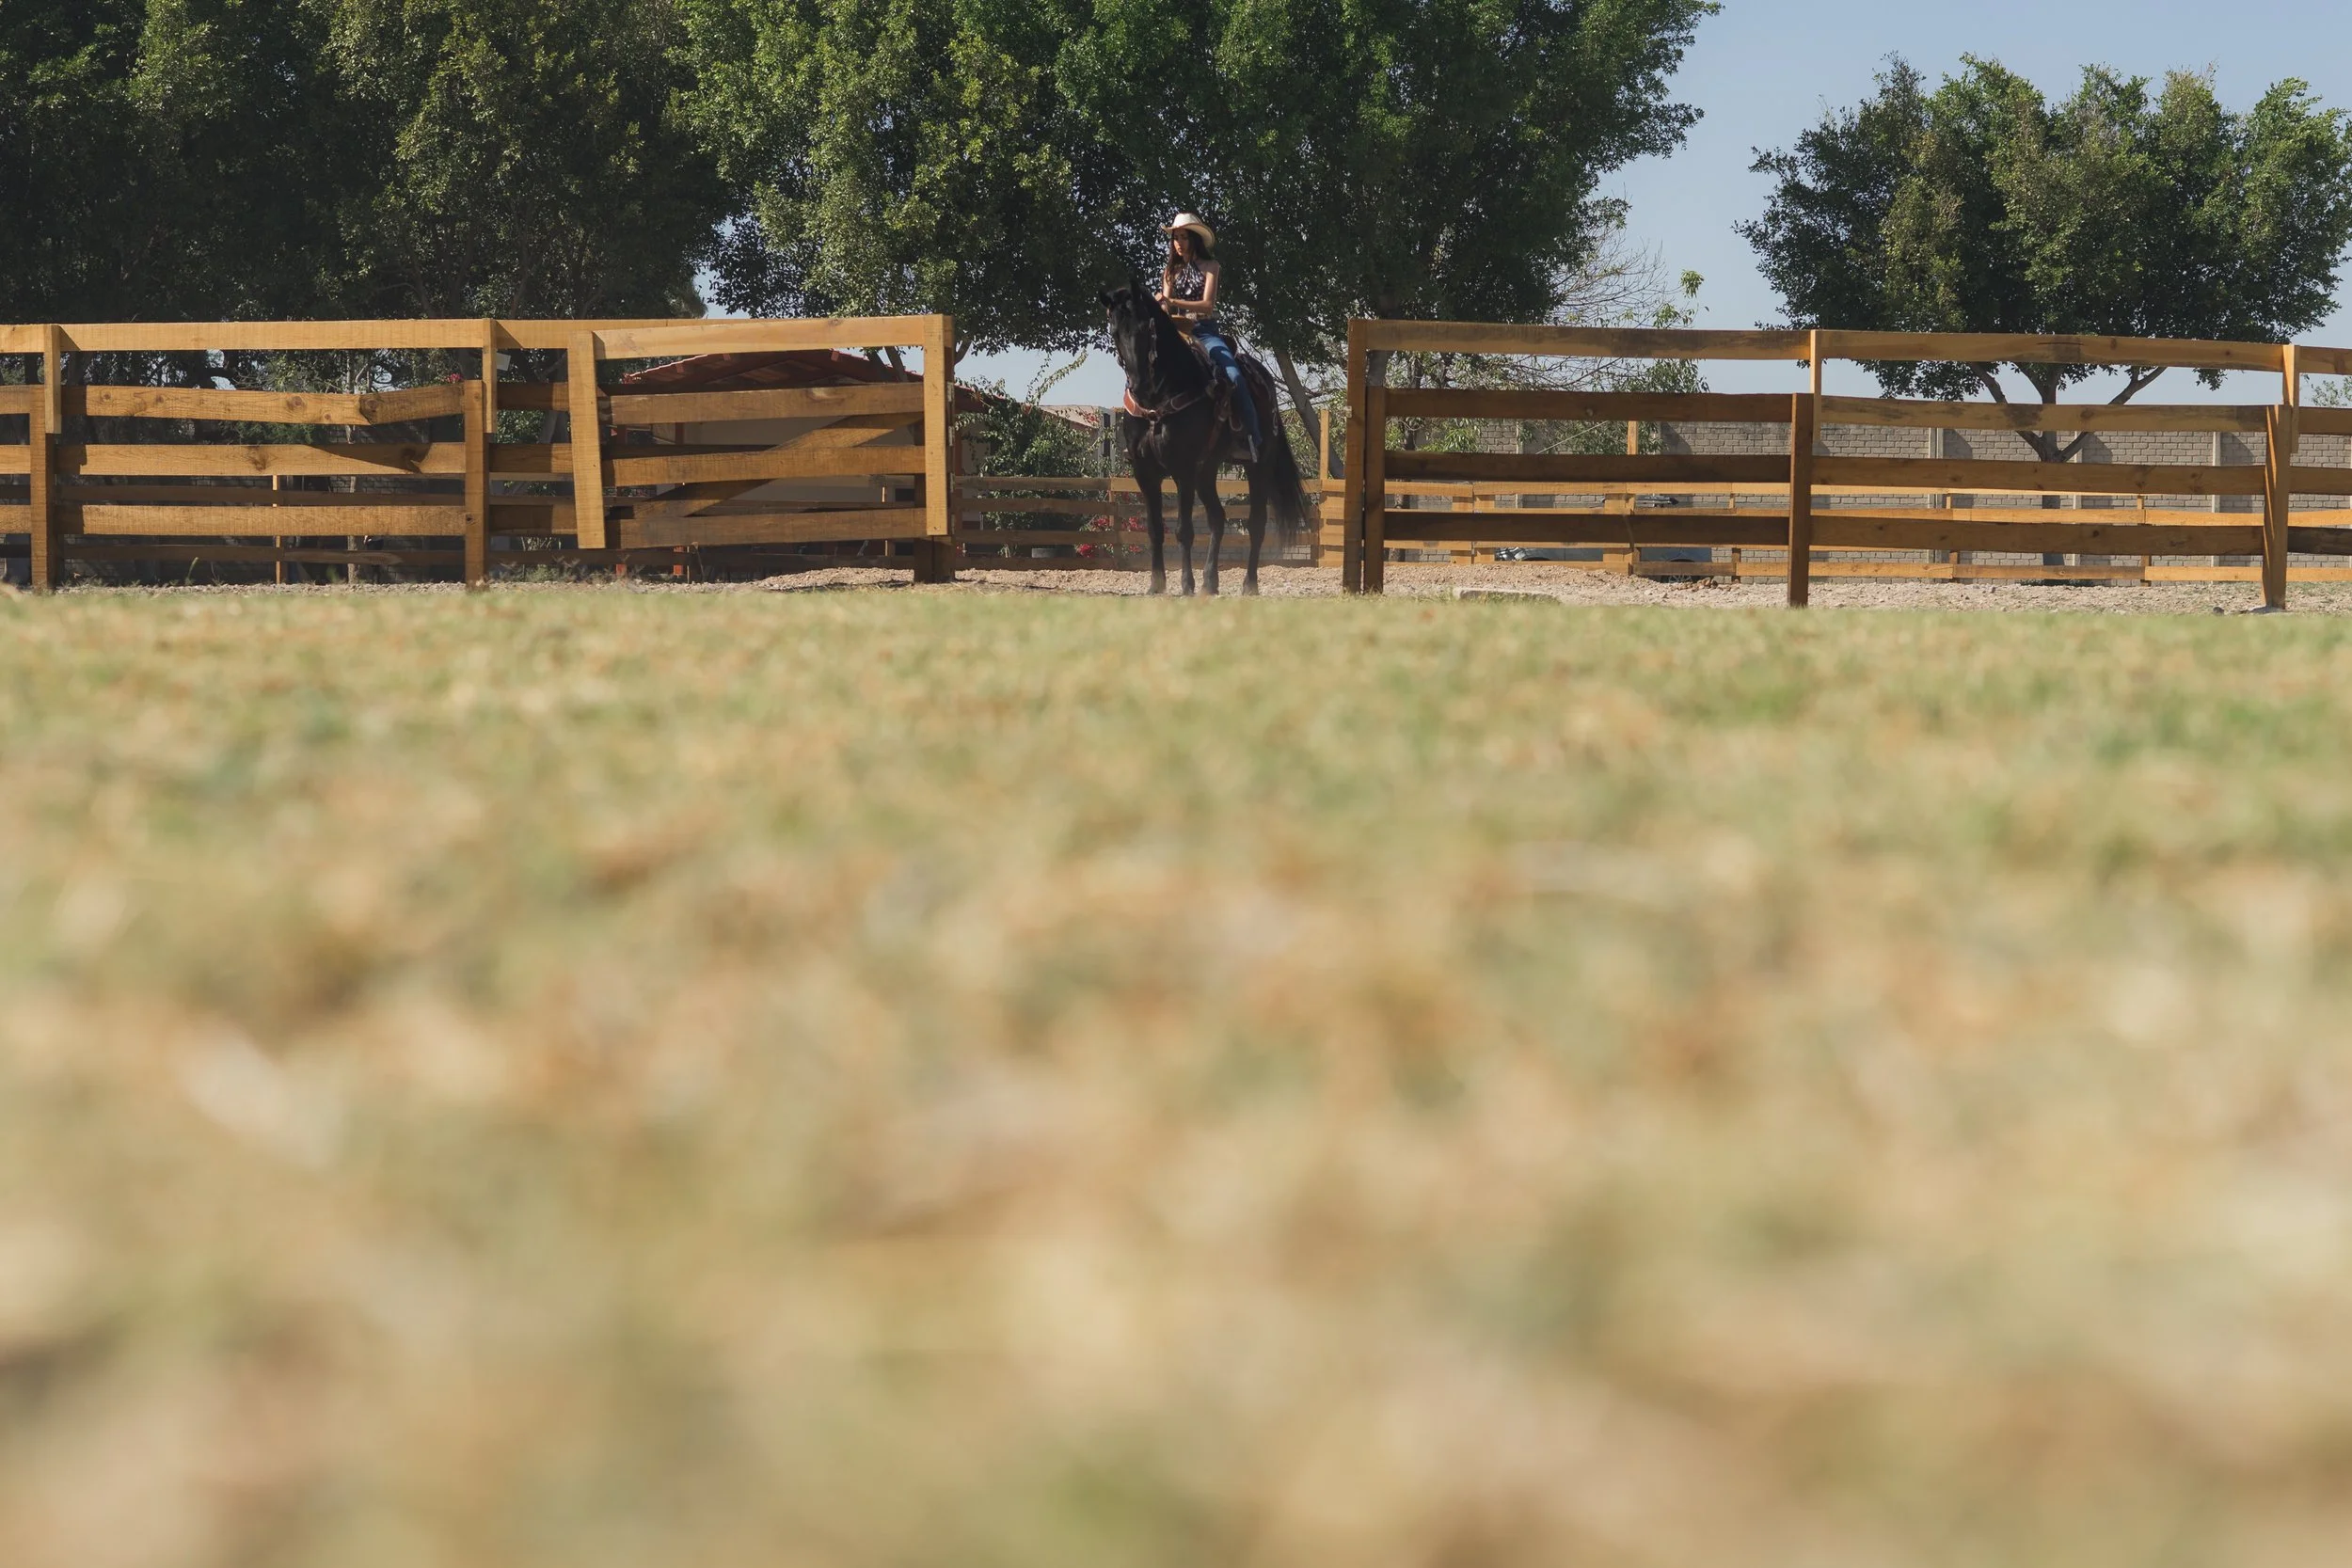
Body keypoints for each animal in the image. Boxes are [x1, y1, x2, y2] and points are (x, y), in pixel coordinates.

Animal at [1100, 282, 1309, 596]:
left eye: (1145, 328)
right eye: (1114, 332)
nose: (1137, 384)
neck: (1159, 396)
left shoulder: (1183, 469)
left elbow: (1184, 531)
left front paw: (1186, 584)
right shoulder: (1145, 473)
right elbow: (1154, 529)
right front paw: (1157, 584)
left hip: (1257, 465)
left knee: (1256, 523)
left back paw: (1249, 584)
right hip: (1207, 470)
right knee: (1218, 519)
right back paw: (1210, 582)